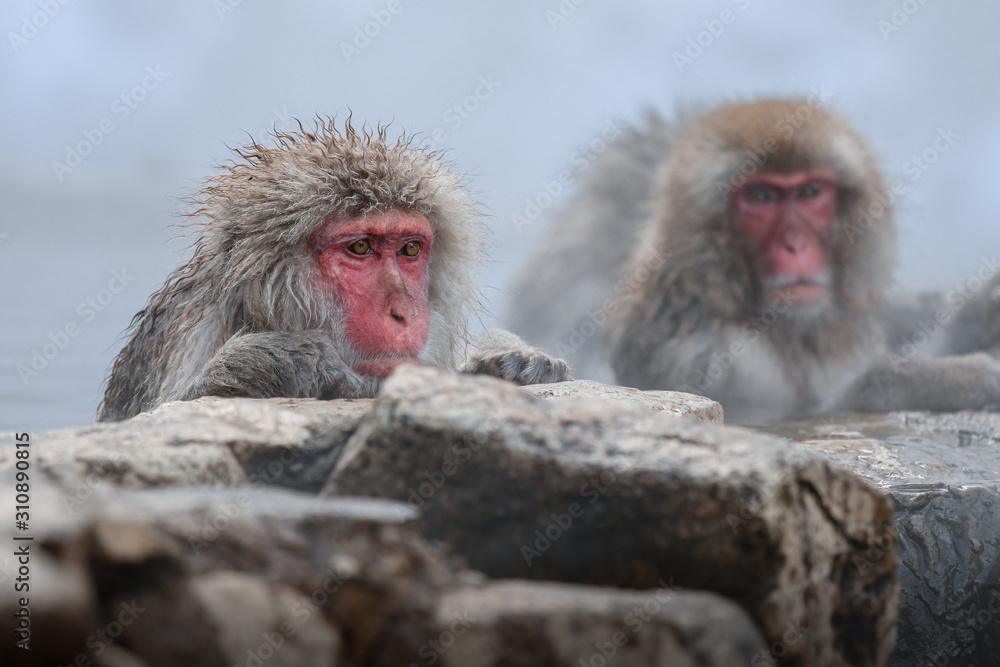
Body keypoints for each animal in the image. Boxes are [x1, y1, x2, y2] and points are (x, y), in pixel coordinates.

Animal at [508, 99, 1000, 423]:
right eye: (761, 197)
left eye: (810, 192)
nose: (796, 246)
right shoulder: (693, 344)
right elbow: (799, 402)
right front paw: (973, 374)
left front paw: (978, 311)